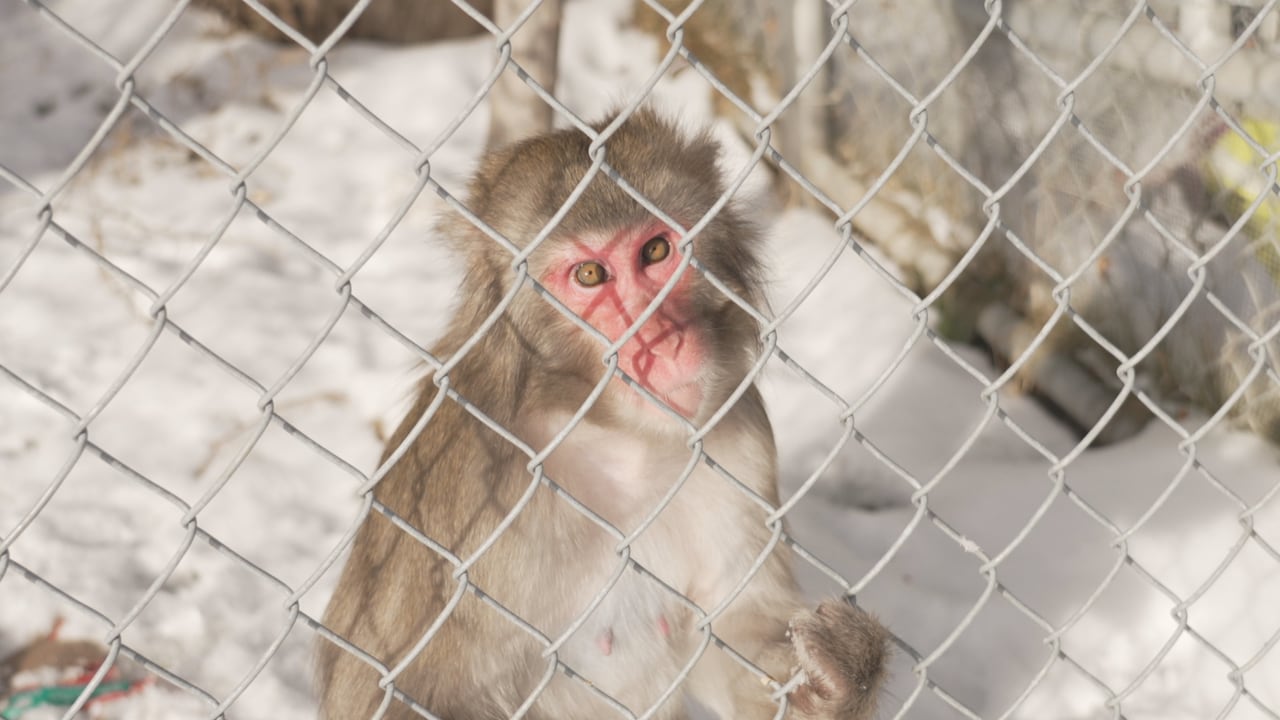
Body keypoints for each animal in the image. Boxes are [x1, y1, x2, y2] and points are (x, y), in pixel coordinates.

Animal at [316, 109, 890, 720]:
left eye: (656, 251)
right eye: (590, 275)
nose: (663, 340)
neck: (613, 434)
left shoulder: (740, 433)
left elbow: (733, 627)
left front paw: (841, 673)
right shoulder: (463, 482)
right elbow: (390, 692)